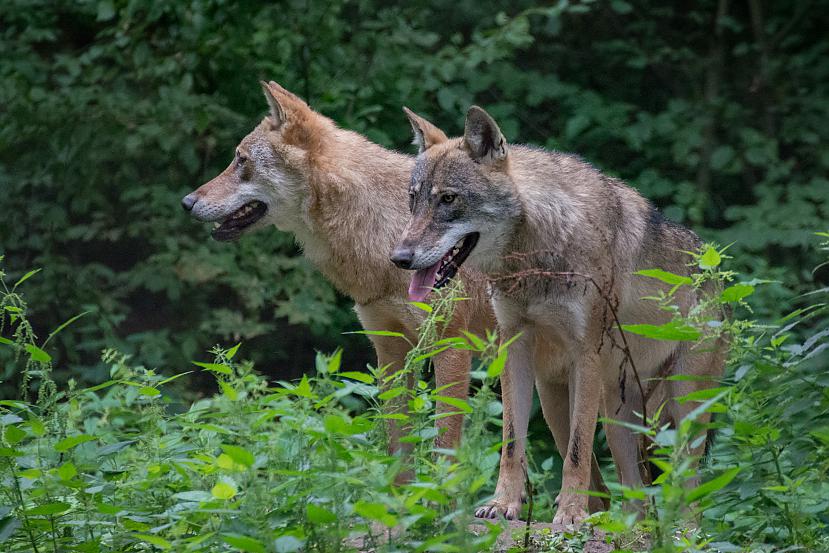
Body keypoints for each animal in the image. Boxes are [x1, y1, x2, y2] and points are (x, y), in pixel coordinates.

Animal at [392, 105, 720, 524]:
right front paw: (503, 504)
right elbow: (511, 442)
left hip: (682, 411)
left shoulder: (586, 354)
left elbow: (578, 451)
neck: (535, 253)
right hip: (598, 414)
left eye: (449, 199)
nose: (399, 258)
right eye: (413, 200)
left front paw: (571, 515)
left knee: (690, 492)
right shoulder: (514, 346)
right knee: (634, 497)